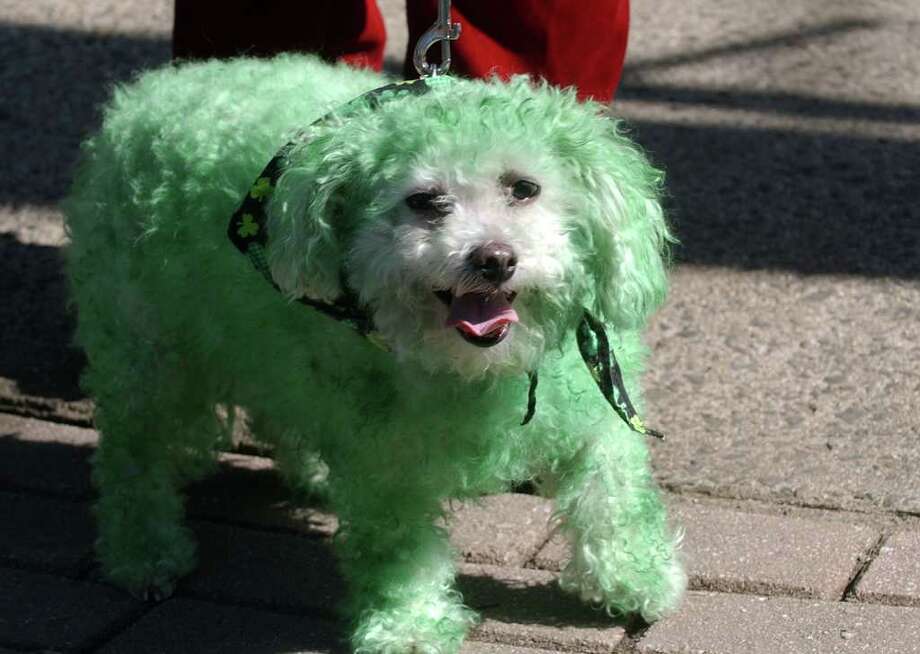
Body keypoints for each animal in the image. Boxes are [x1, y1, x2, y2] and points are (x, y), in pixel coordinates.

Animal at [64, 53, 684, 652]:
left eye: (524, 188)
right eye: (424, 202)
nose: (493, 258)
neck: (476, 371)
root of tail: (145, 95)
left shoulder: (596, 420)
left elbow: (615, 499)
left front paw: (636, 579)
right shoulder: (385, 462)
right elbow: (397, 551)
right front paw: (409, 626)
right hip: (142, 351)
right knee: (131, 459)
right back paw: (143, 551)